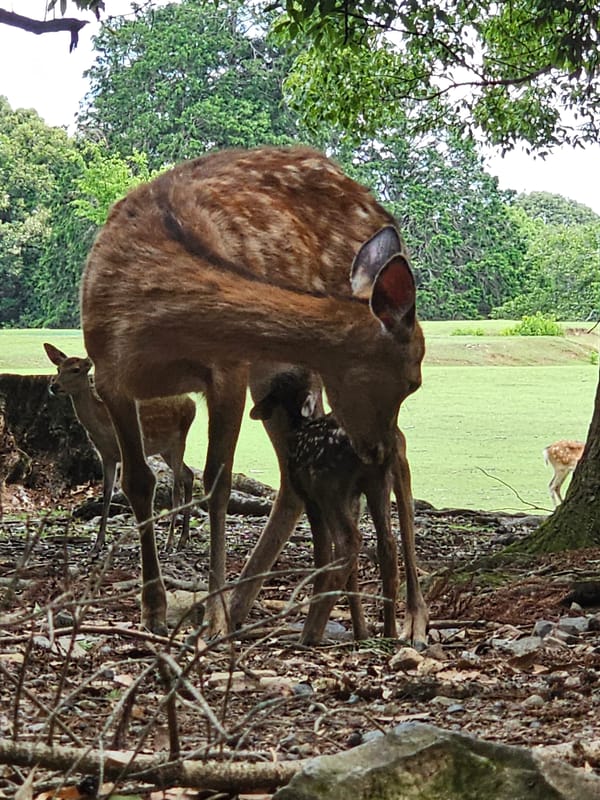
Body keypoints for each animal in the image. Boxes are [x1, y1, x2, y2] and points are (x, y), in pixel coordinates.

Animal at [43, 343, 196, 552]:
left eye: (76, 369)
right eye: (58, 369)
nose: (54, 386)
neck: (102, 424)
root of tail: (193, 404)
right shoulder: (106, 455)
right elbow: (107, 494)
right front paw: (98, 543)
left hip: (180, 439)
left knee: (177, 488)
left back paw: (170, 542)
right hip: (165, 448)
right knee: (188, 476)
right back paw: (183, 538)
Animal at [250, 366, 424, 646]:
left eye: (279, 387)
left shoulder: (310, 497)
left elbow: (322, 554)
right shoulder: (353, 497)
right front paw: (361, 632)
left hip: (329, 487)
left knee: (349, 540)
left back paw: (311, 632)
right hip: (377, 483)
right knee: (386, 544)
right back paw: (389, 632)